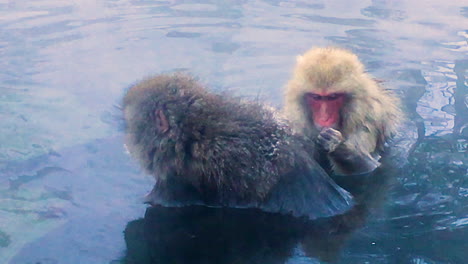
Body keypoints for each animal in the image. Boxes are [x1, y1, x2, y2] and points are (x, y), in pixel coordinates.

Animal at [284, 47, 404, 175]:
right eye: (316, 97)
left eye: (333, 97)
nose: (324, 118)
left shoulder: (367, 123)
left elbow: (372, 167)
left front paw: (335, 144)